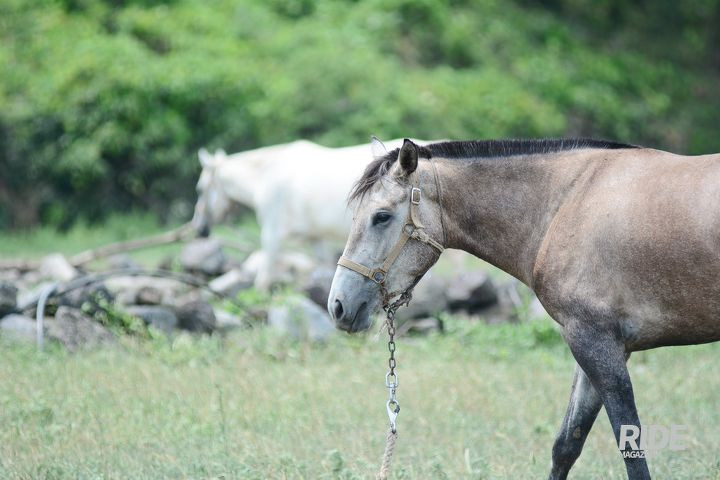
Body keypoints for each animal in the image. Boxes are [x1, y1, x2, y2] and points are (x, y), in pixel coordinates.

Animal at [191, 139, 428, 288]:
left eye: (200, 189)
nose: (200, 230)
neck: (266, 176)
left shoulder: (272, 235)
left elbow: (263, 280)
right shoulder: (316, 240)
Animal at [328, 137, 720, 478]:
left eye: (381, 216)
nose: (338, 305)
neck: (566, 202)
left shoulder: (595, 343)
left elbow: (630, 448)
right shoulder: (602, 347)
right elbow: (565, 446)